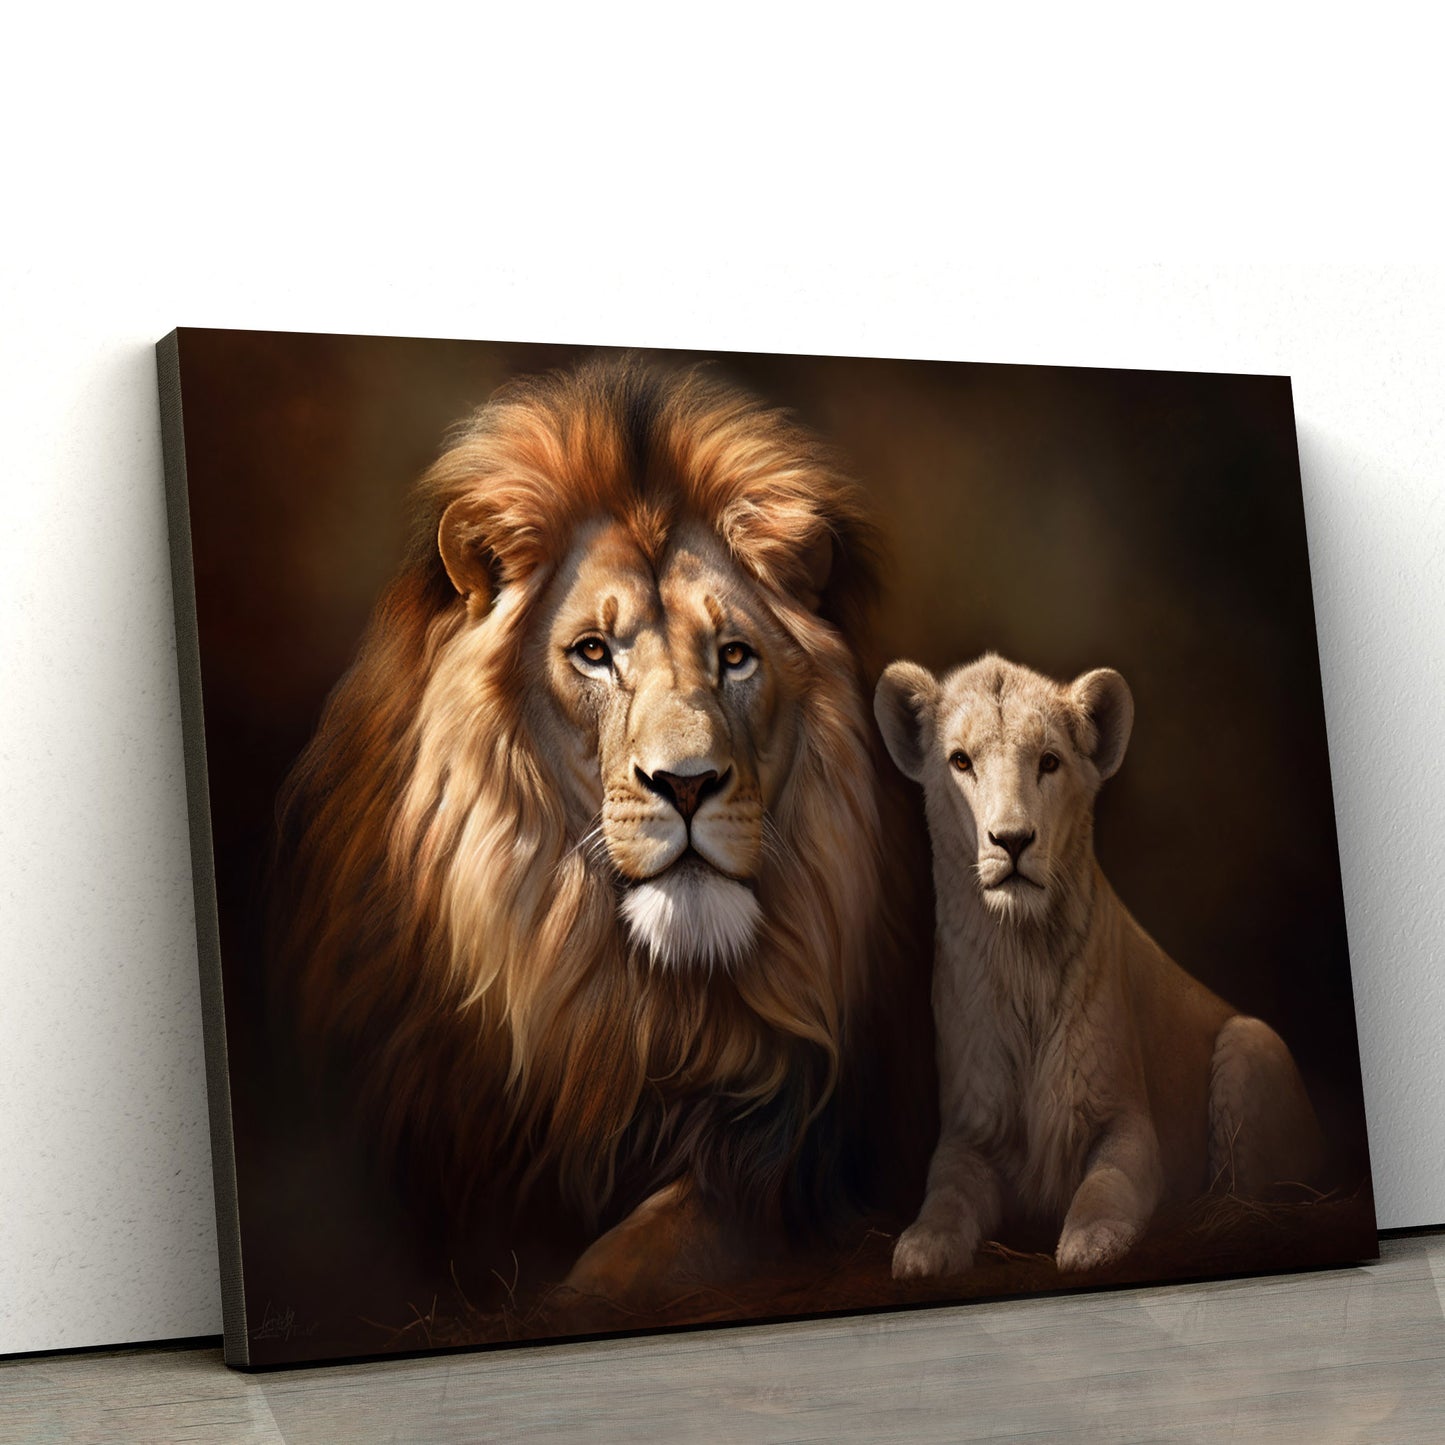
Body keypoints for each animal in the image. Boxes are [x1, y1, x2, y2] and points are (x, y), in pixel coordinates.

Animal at [270, 356, 912, 1312]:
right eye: (593, 652)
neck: (630, 1008)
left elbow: (629, 1264)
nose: (687, 783)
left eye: (734, 655)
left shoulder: (773, 1167)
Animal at [873, 652, 1325, 1279]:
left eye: (1049, 762)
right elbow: (945, 1194)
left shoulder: (1126, 1119)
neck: (1023, 956)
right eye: (961, 760)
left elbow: (1106, 1183)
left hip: (1251, 1040)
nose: (1012, 840)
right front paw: (921, 1247)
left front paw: (1091, 1242)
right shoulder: (967, 1130)